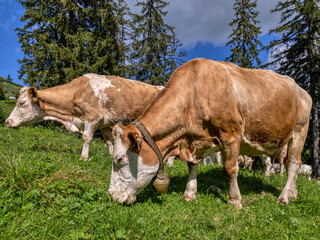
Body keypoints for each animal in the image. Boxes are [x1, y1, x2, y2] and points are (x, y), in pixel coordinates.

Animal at [5, 73, 164, 159]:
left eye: (22, 102)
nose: (7, 121)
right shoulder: (105, 123)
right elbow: (109, 141)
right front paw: (111, 157)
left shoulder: (93, 118)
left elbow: (86, 138)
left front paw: (84, 157)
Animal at [109, 59, 312, 209]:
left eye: (119, 159)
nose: (111, 195)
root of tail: (302, 90)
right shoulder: (196, 139)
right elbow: (192, 165)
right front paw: (189, 193)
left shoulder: (230, 132)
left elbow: (230, 169)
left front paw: (235, 200)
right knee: (293, 164)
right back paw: (293, 193)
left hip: (299, 131)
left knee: (293, 165)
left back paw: (284, 197)